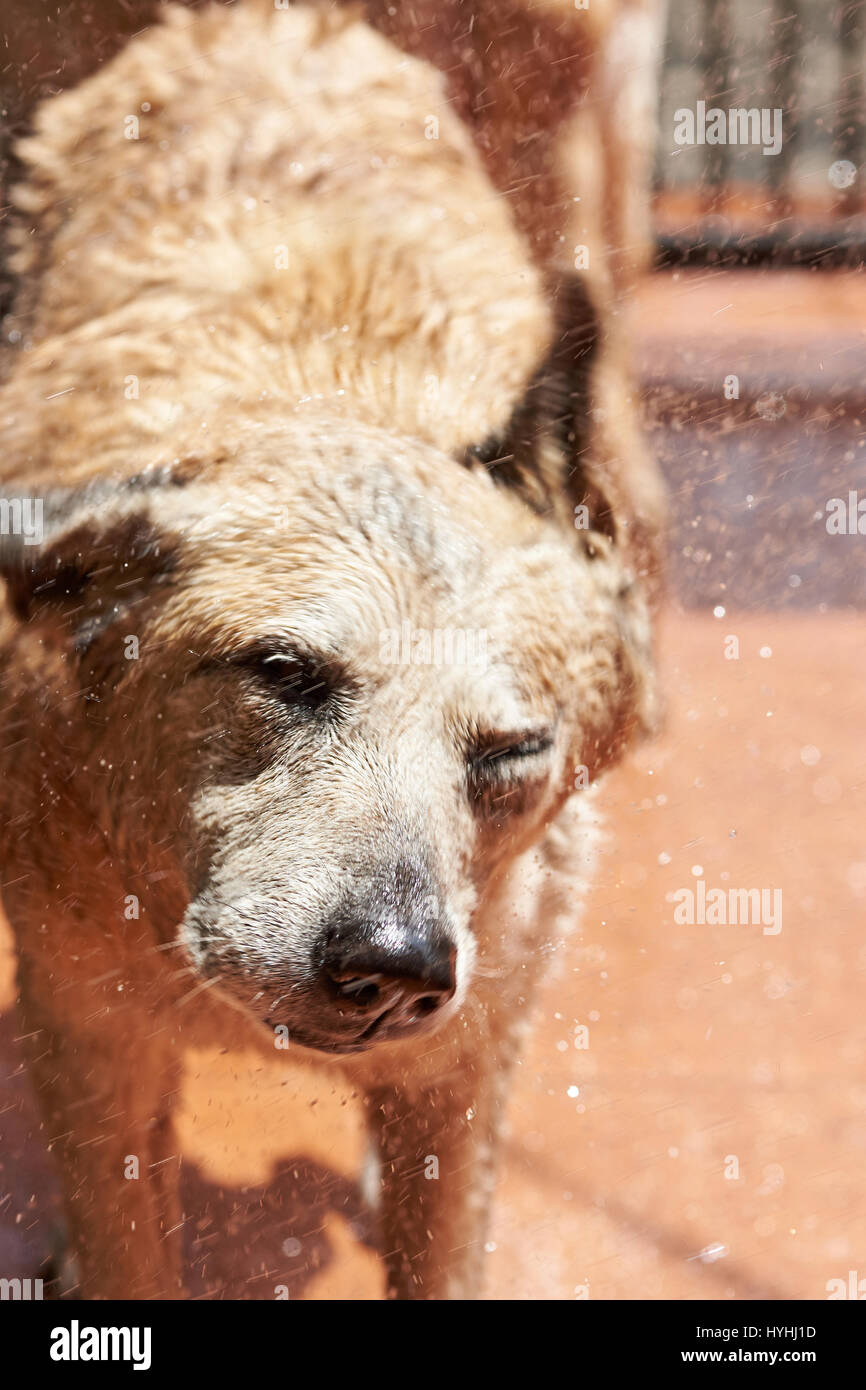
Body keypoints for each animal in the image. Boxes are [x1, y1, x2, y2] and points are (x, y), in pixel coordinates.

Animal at [0, 2, 667, 1301]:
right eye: (282, 673)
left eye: (512, 751)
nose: (394, 966)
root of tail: (264, 22)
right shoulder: (86, 1031)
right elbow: (126, 1237)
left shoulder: (467, 1058)